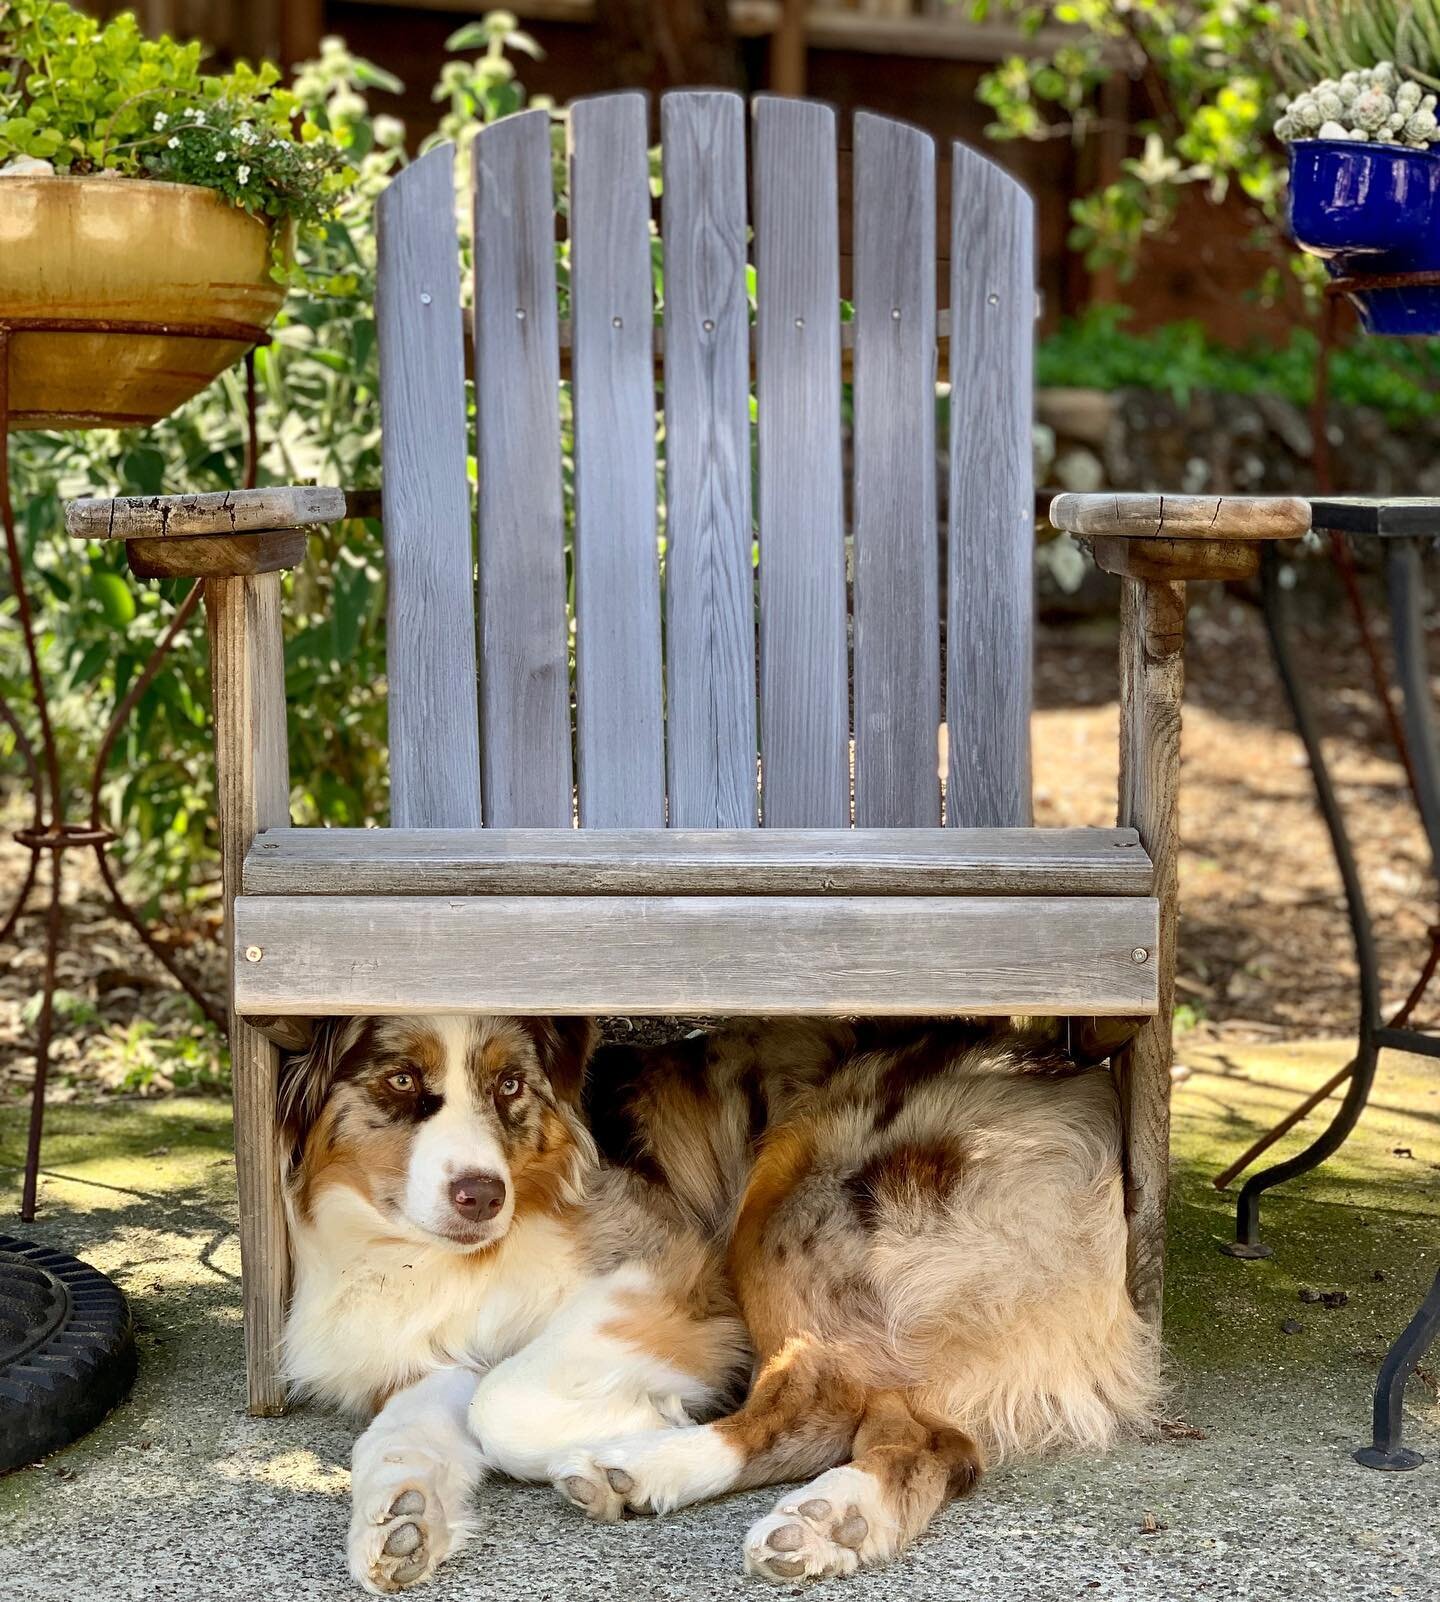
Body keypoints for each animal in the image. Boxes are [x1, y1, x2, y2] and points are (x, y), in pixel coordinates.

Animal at [278, 1012, 1159, 1589]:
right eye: (400, 1080)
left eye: (511, 1086)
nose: (479, 1195)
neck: (430, 1257)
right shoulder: (416, 1350)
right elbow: (403, 1430)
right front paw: (401, 1519)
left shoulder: (671, 1264)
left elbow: (502, 1399)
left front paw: (638, 1414)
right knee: (930, 1441)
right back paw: (837, 1523)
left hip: (790, 1197)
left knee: (822, 1398)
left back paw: (639, 1464)